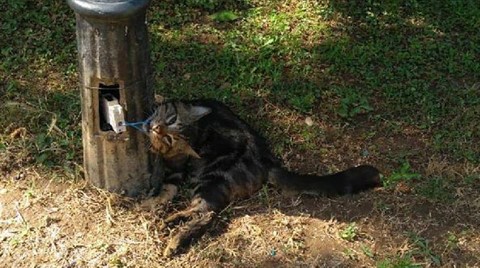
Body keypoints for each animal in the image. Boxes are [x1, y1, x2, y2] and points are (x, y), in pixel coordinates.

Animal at [144, 99, 380, 256]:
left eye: (171, 125)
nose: (155, 128)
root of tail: (268, 160)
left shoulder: (179, 165)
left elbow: (169, 185)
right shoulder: (176, 168)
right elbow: (169, 187)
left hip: (210, 177)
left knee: (207, 213)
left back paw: (174, 238)